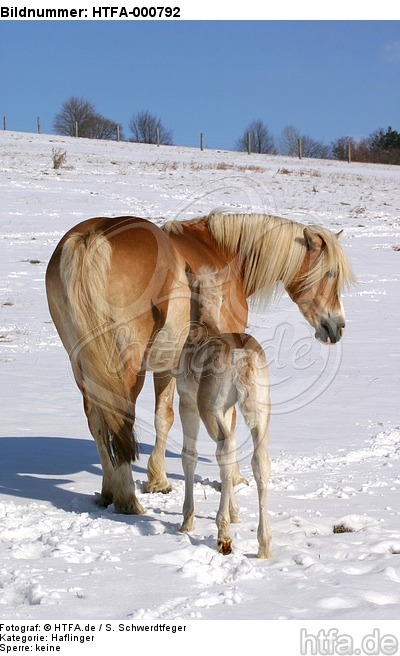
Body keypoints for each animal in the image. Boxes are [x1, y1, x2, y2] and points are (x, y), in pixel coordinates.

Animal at [45, 212, 353, 514]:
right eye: (331, 273)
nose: (337, 327)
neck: (222, 249)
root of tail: (91, 237)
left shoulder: (166, 365)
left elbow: (163, 417)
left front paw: (158, 480)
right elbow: (228, 421)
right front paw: (234, 478)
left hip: (83, 366)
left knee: (96, 421)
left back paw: (108, 492)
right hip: (125, 370)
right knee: (120, 419)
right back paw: (127, 498)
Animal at [177, 267, 271, 557]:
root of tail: (242, 355)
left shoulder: (187, 405)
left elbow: (189, 456)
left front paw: (187, 521)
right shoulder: (229, 411)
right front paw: (236, 511)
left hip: (208, 411)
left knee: (225, 448)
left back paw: (223, 534)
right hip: (261, 414)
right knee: (259, 462)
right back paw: (264, 544)